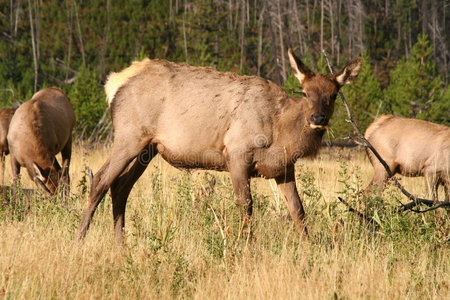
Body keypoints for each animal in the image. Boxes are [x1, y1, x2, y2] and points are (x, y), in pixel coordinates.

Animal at [77, 49, 362, 241]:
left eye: (333, 95)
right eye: (304, 92)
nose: (318, 118)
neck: (281, 133)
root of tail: (114, 82)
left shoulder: (283, 168)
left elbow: (298, 209)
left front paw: (307, 246)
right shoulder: (236, 154)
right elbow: (246, 205)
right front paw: (246, 245)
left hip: (147, 148)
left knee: (120, 187)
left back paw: (121, 244)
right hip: (129, 135)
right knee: (100, 179)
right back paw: (80, 239)